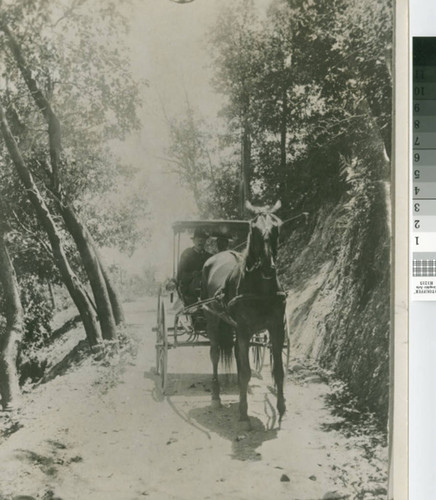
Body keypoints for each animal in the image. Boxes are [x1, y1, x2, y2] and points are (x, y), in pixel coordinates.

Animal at [201, 201, 286, 428]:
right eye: (253, 229)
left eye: (277, 227)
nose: (267, 266)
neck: (261, 289)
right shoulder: (244, 330)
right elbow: (246, 372)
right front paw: (244, 415)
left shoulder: (276, 328)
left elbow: (278, 371)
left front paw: (281, 408)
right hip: (213, 320)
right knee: (214, 355)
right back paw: (216, 396)